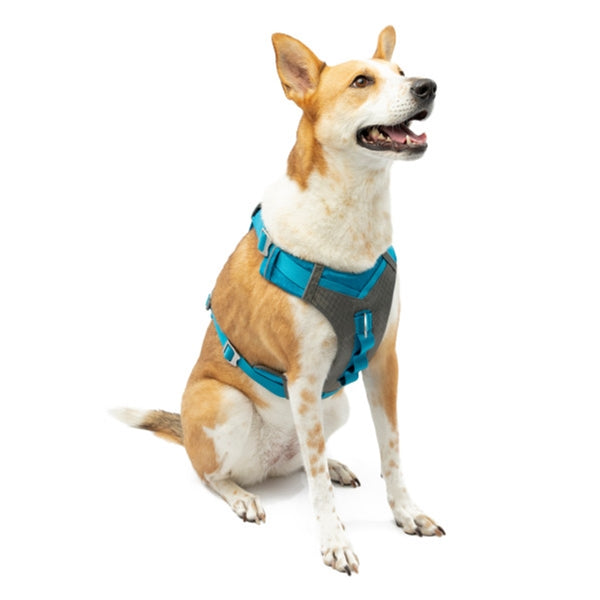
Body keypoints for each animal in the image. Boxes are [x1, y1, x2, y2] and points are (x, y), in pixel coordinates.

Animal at [112, 26, 444, 575]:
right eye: (361, 81)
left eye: (401, 72)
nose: (428, 86)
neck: (354, 216)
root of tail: (263, 465)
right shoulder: (305, 378)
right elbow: (315, 488)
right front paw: (335, 542)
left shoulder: (384, 362)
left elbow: (391, 452)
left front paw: (407, 514)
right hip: (224, 402)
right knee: (215, 474)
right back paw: (244, 496)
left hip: (334, 404)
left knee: (303, 460)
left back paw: (332, 464)